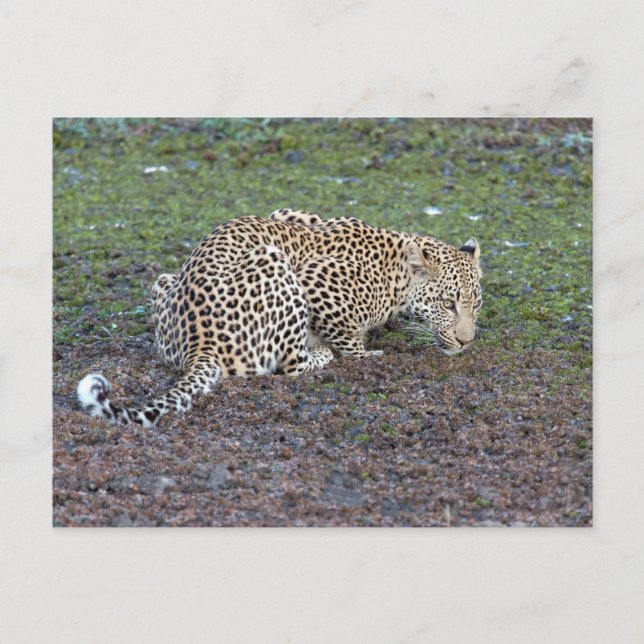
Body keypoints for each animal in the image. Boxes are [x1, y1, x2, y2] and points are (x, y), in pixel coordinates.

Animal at [77, 209, 482, 428]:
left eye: (475, 305)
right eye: (448, 304)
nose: (466, 342)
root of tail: (198, 345)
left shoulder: (290, 215)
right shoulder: (317, 281)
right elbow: (350, 339)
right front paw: (366, 352)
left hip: (164, 281)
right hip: (274, 261)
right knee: (290, 365)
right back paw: (321, 355)